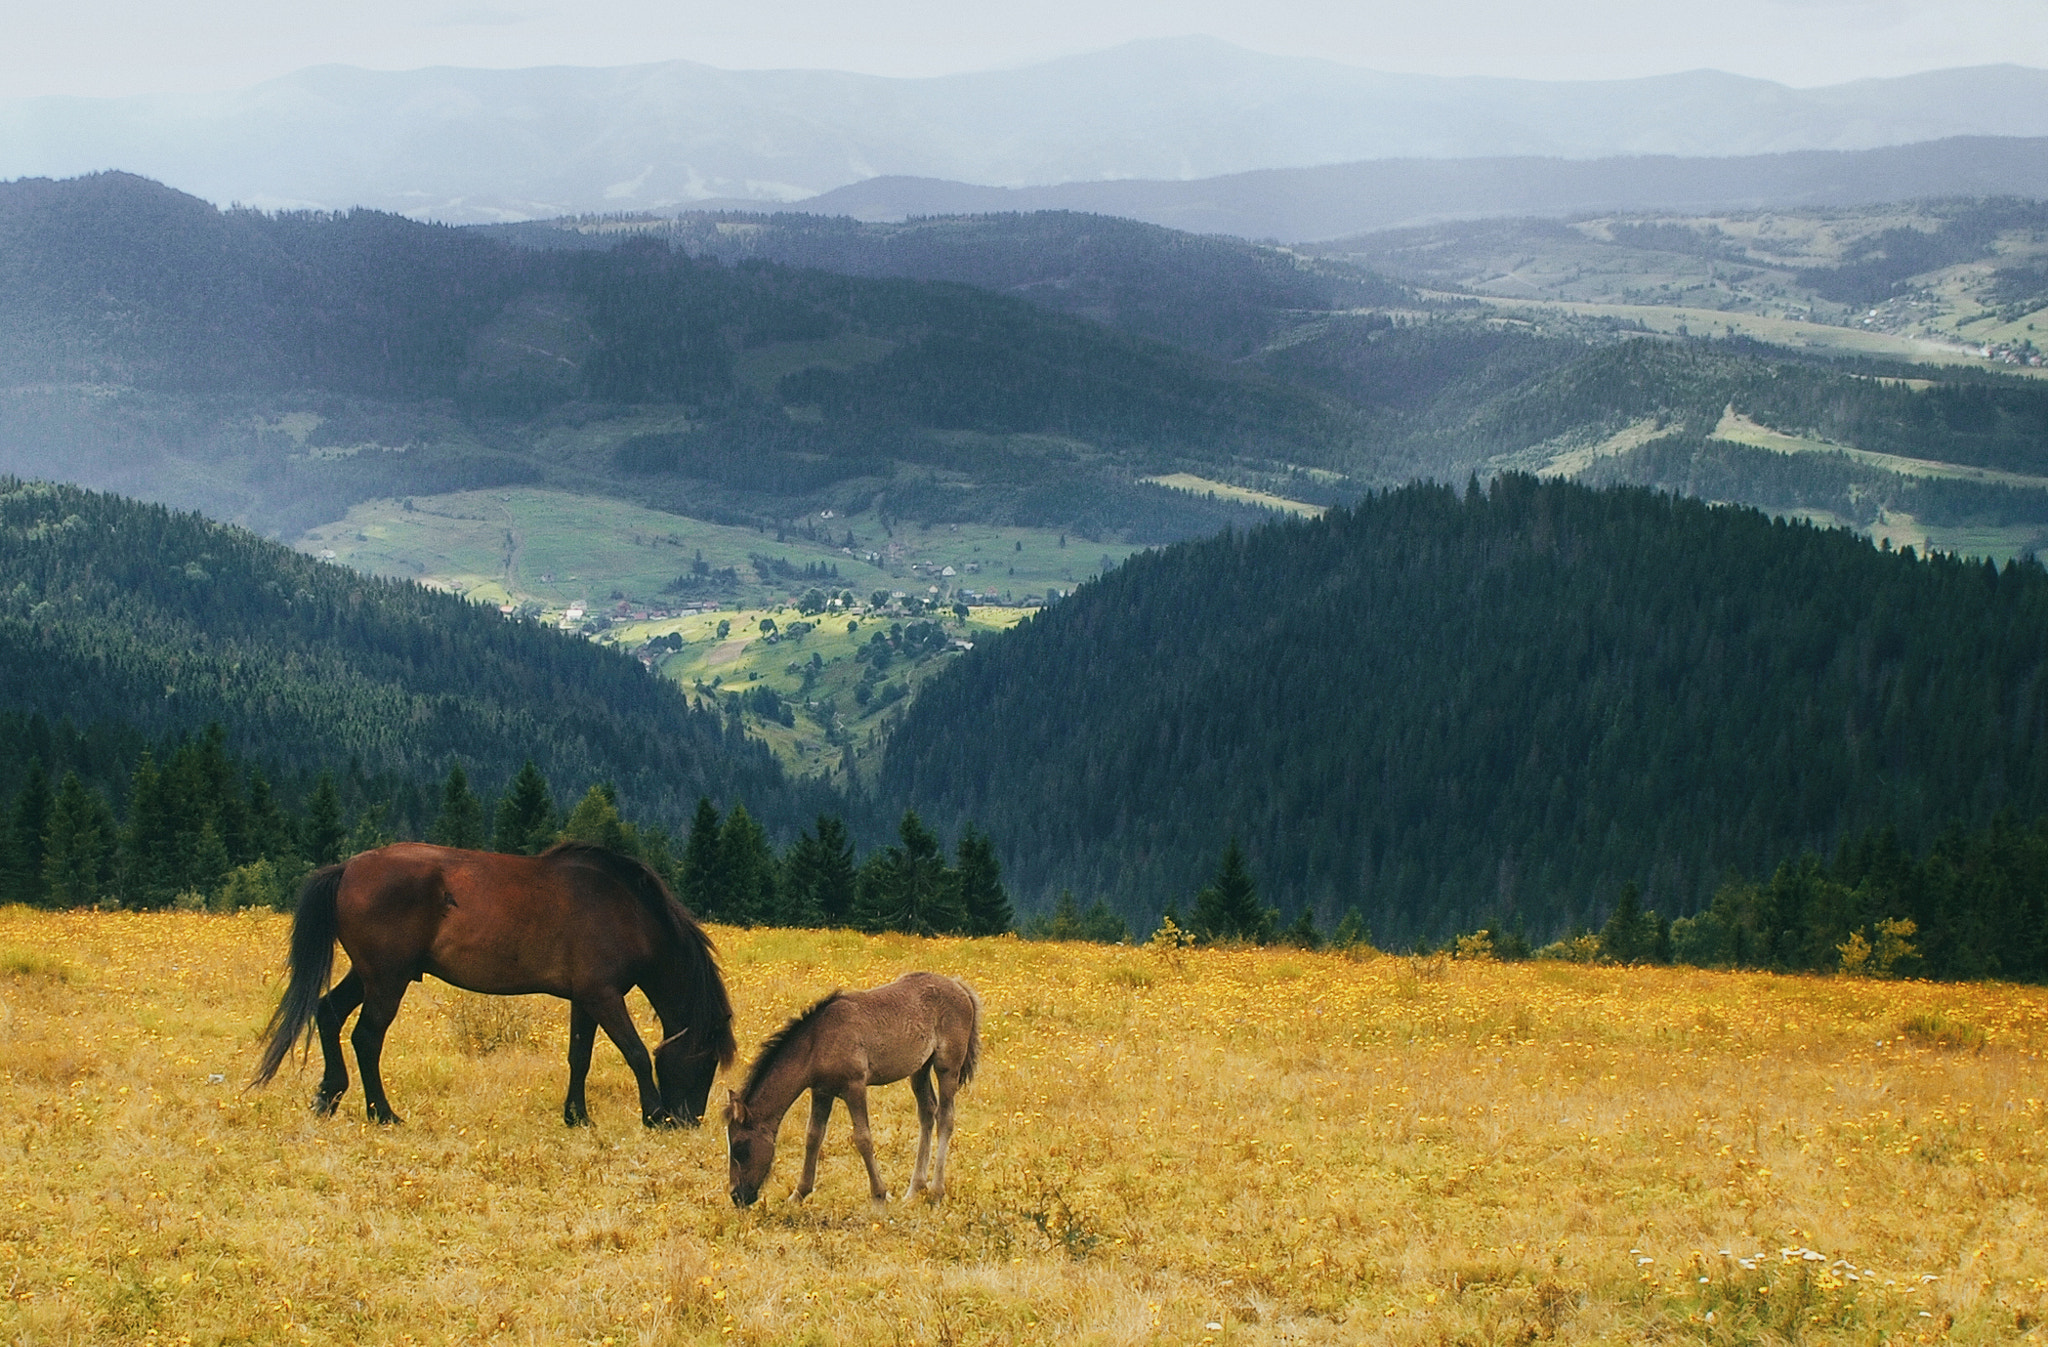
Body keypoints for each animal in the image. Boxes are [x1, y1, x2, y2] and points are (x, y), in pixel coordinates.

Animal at [251, 839, 737, 1121]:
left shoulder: (585, 998)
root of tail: (347, 868)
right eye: (706, 1061)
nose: (689, 1120)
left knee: (328, 1013)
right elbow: (635, 1053)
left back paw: (328, 1097)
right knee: (366, 1039)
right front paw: (653, 1114)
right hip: (387, 980)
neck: (627, 911)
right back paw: (383, 1113)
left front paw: (577, 1116)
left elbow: (579, 1057)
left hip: (369, 974)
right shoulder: (604, 996)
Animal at [724, 966, 978, 1203]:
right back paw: (914, 1190)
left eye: (740, 1149)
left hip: (947, 1066)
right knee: (927, 1112)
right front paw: (798, 1194)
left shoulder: (854, 1086)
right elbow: (813, 1136)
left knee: (945, 1118)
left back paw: (936, 1191)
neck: (817, 1042)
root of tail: (959, 986)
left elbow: (863, 1138)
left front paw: (880, 1195)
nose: (737, 1196)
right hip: (919, 1070)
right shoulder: (821, 1091)